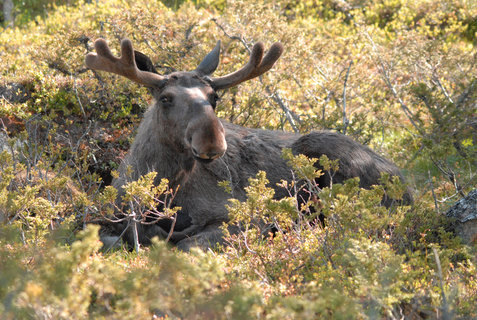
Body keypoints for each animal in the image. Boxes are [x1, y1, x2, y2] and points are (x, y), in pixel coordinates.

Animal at [86, 37, 412, 251]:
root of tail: (408, 186)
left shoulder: (241, 217)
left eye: (214, 97)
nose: (212, 142)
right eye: (165, 98)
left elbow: (187, 245)